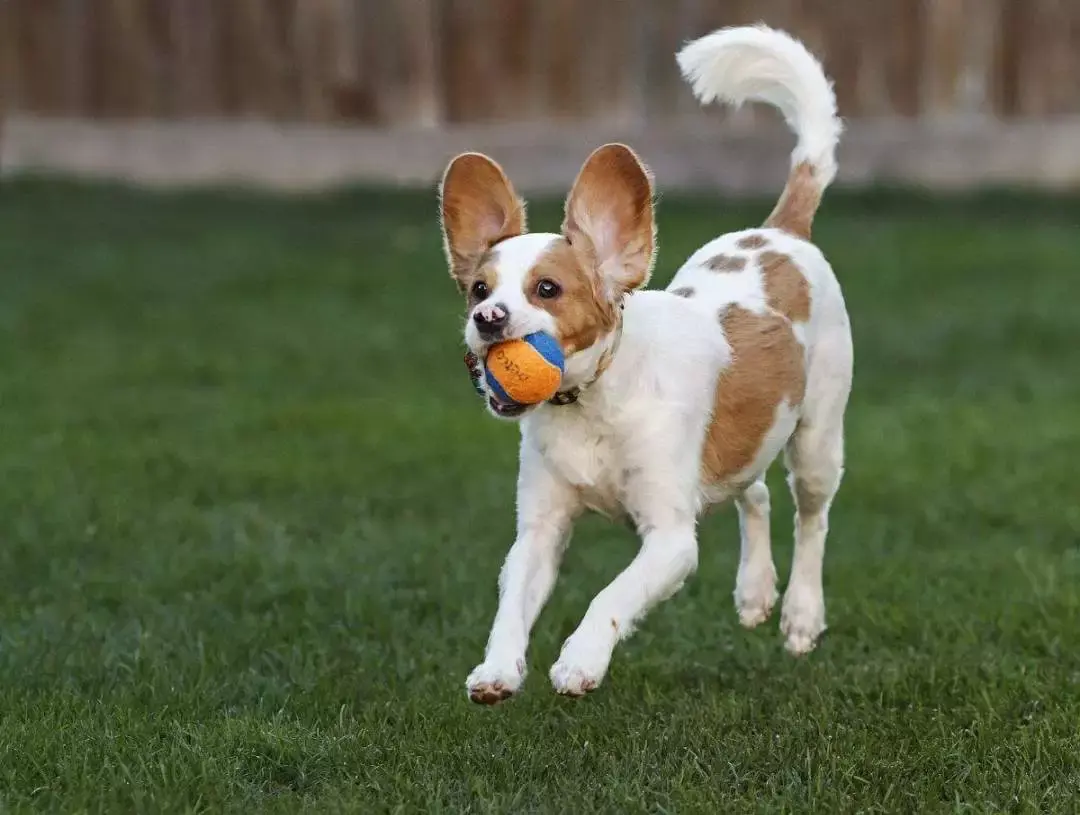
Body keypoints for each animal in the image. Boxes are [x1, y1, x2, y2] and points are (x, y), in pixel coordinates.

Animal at [438, 23, 851, 699]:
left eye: (547, 289)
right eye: (478, 289)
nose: (489, 319)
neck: (591, 405)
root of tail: (781, 231)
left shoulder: (670, 540)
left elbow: (612, 593)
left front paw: (580, 660)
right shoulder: (540, 530)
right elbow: (511, 604)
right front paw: (496, 670)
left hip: (818, 437)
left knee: (811, 519)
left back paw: (799, 616)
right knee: (756, 491)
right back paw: (755, 592)